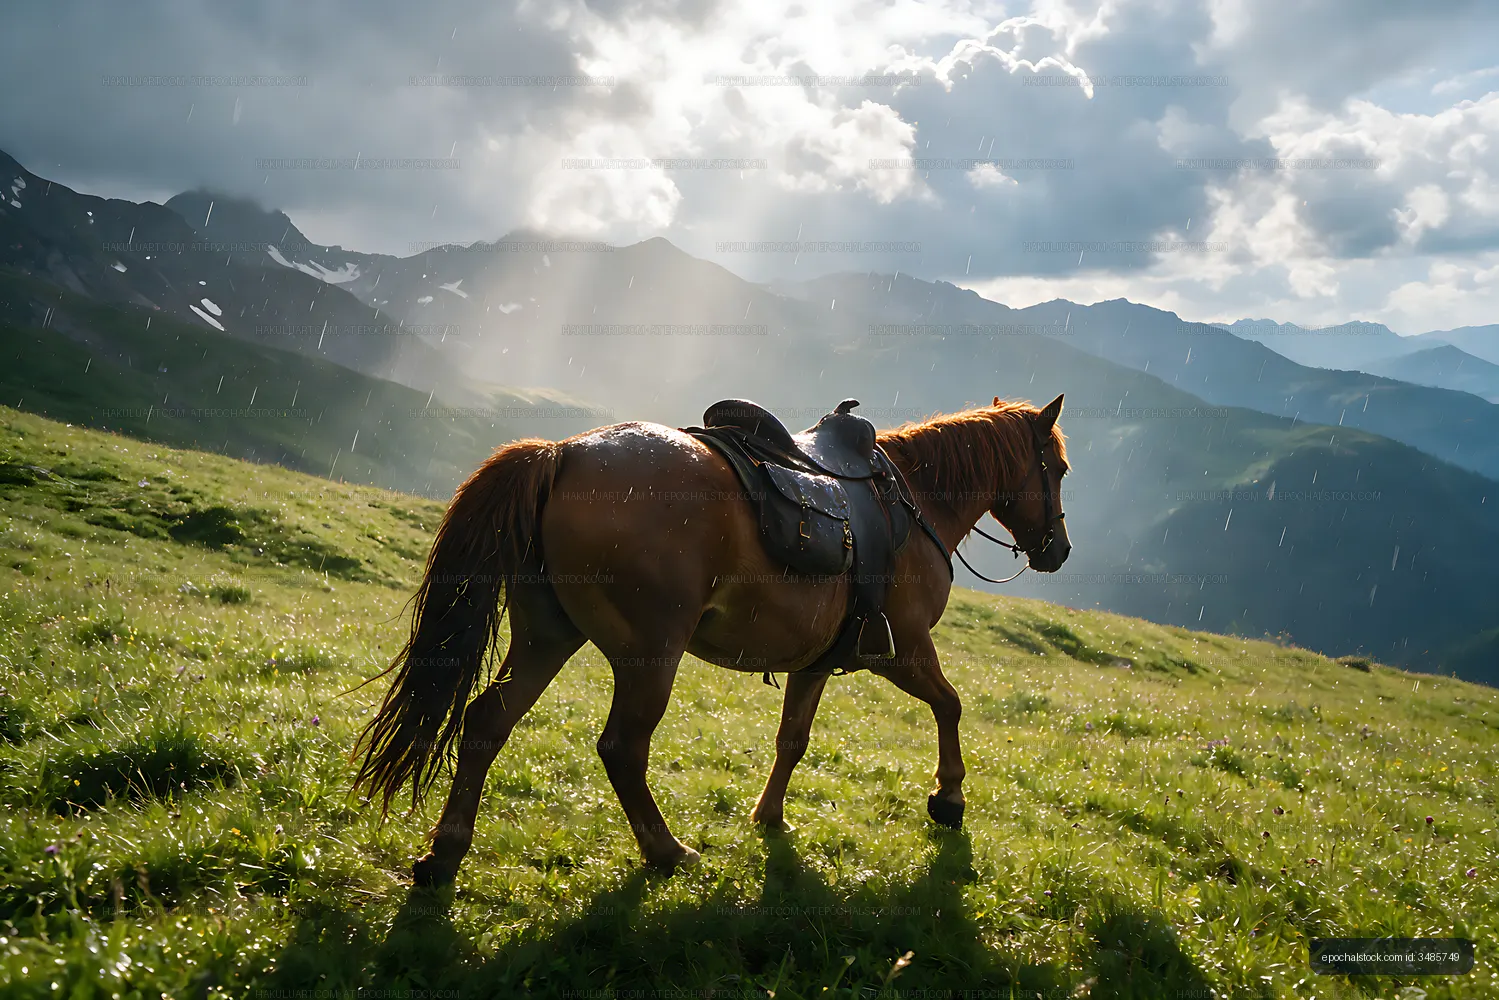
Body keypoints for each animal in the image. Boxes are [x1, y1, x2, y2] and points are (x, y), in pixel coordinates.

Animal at [352, 394, 1071, 885]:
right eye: (1058, 468)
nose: (1058, 550)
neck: (914, 501)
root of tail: (562, 455)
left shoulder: (818, 660)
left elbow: (793, 739)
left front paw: (770, 817)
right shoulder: (903, 649)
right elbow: (950, 705)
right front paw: (948, 798)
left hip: (547, 635)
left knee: (486, 722)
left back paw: (445, 851)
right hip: (649, 653)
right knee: (621, 747)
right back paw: (665, 851)